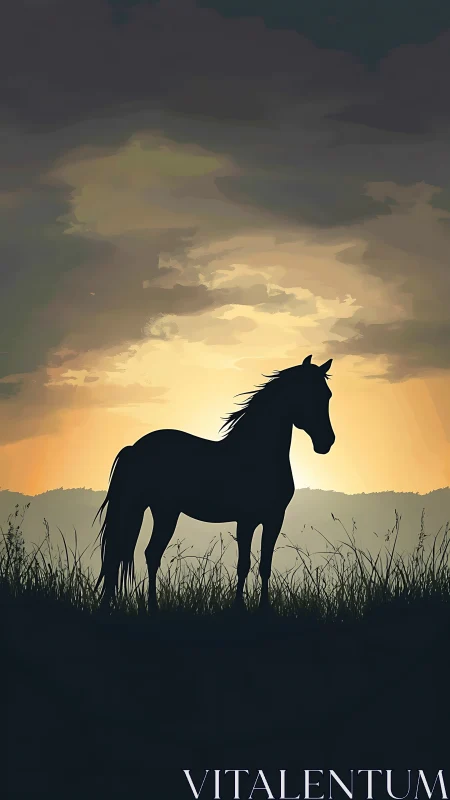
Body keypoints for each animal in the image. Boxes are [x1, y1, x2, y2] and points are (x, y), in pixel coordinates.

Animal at [93, 354, 335, 611]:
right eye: (310, 394)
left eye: (327, 395)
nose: (327, 442)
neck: (257, 454)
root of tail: (134, 447)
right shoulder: (247, 520)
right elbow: (244, 564)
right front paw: (239, 607)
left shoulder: (273, 519)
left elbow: (265, 566)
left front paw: (264, 608)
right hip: (159, 511)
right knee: (144, 554)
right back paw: (150, 607)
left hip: (159, 510)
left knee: (146, 554)